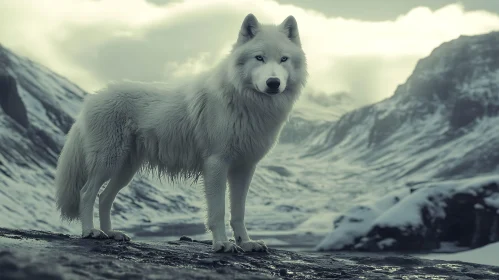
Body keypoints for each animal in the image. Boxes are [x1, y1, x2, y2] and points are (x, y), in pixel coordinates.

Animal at [53, 14, 304, 253]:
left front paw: (246, 243)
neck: (246, 102)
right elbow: (218, 212)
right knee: (86, 193)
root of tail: (91, 98)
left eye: (283, 59)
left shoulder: (244, 168)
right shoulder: (216, 164)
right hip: (108, 162)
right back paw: (91, 232)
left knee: (104, 198)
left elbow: (238, 213)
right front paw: (222, 245)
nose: (273, 83)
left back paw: (111, 233)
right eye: (259, 58)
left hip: (125, 170)